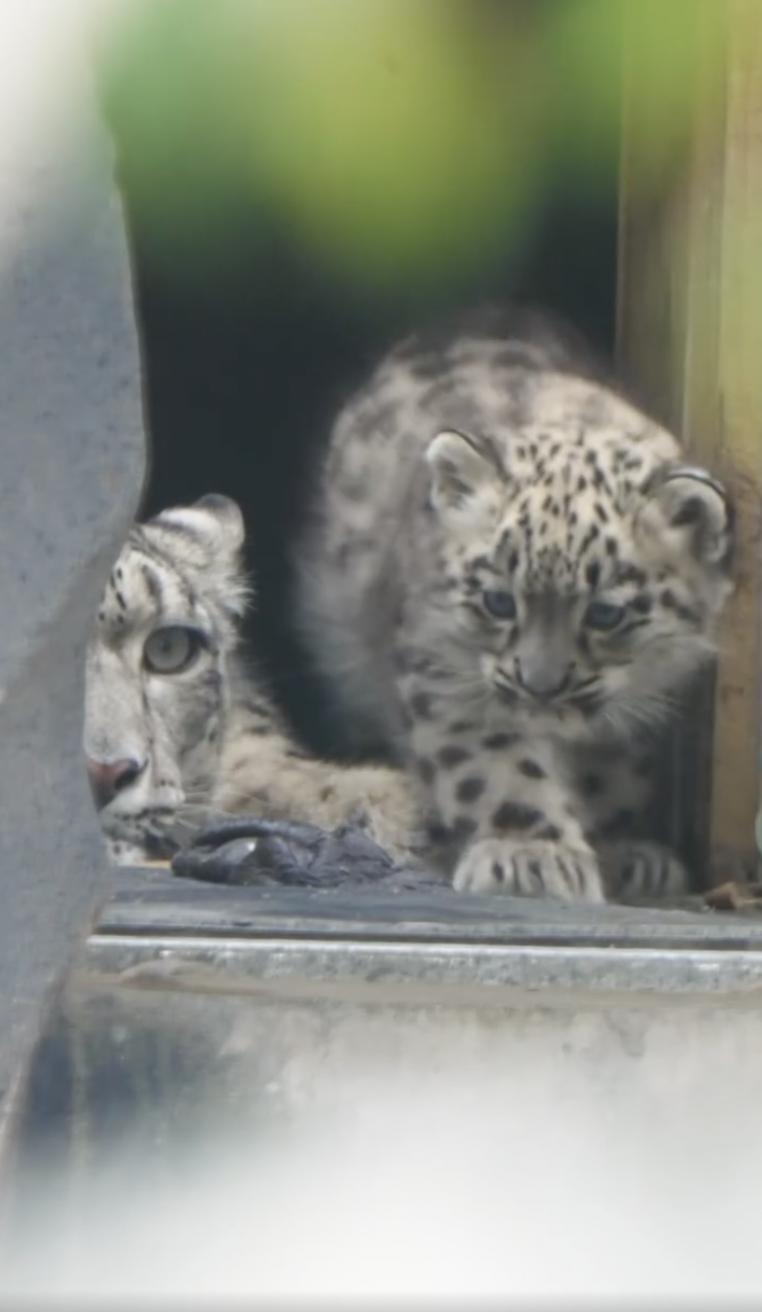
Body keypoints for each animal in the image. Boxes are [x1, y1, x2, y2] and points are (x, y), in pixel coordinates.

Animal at [296, 304, 734, 903]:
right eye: (498, 601)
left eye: (605, 612)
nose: (540, 686)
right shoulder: (447, 677)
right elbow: (495, 768)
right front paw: (530, 857)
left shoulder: (637, 711)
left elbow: (611, 779)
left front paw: (624, 856)